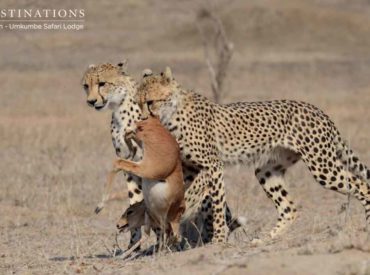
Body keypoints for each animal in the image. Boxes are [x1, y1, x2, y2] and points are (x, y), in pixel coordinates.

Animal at [80, 62, 243, 248]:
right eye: (86, 86)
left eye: (102, 83)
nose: (91, 101)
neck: (121, 110)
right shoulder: (132, 171)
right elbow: (135, 202)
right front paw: (135, 246)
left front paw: (159, 243)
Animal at [137, 67, 370, 244]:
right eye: (138, 103)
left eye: (150, 101)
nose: (141, 119)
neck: (171, 115)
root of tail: (318, 110)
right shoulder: (190, 169)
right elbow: (188, 192)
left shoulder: (213, 165)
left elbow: (215, 203)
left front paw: (218, 238)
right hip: (267, 171)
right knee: (289, 208)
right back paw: (265, 239)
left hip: (322, 166)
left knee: (361, 185)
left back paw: (368, 225)